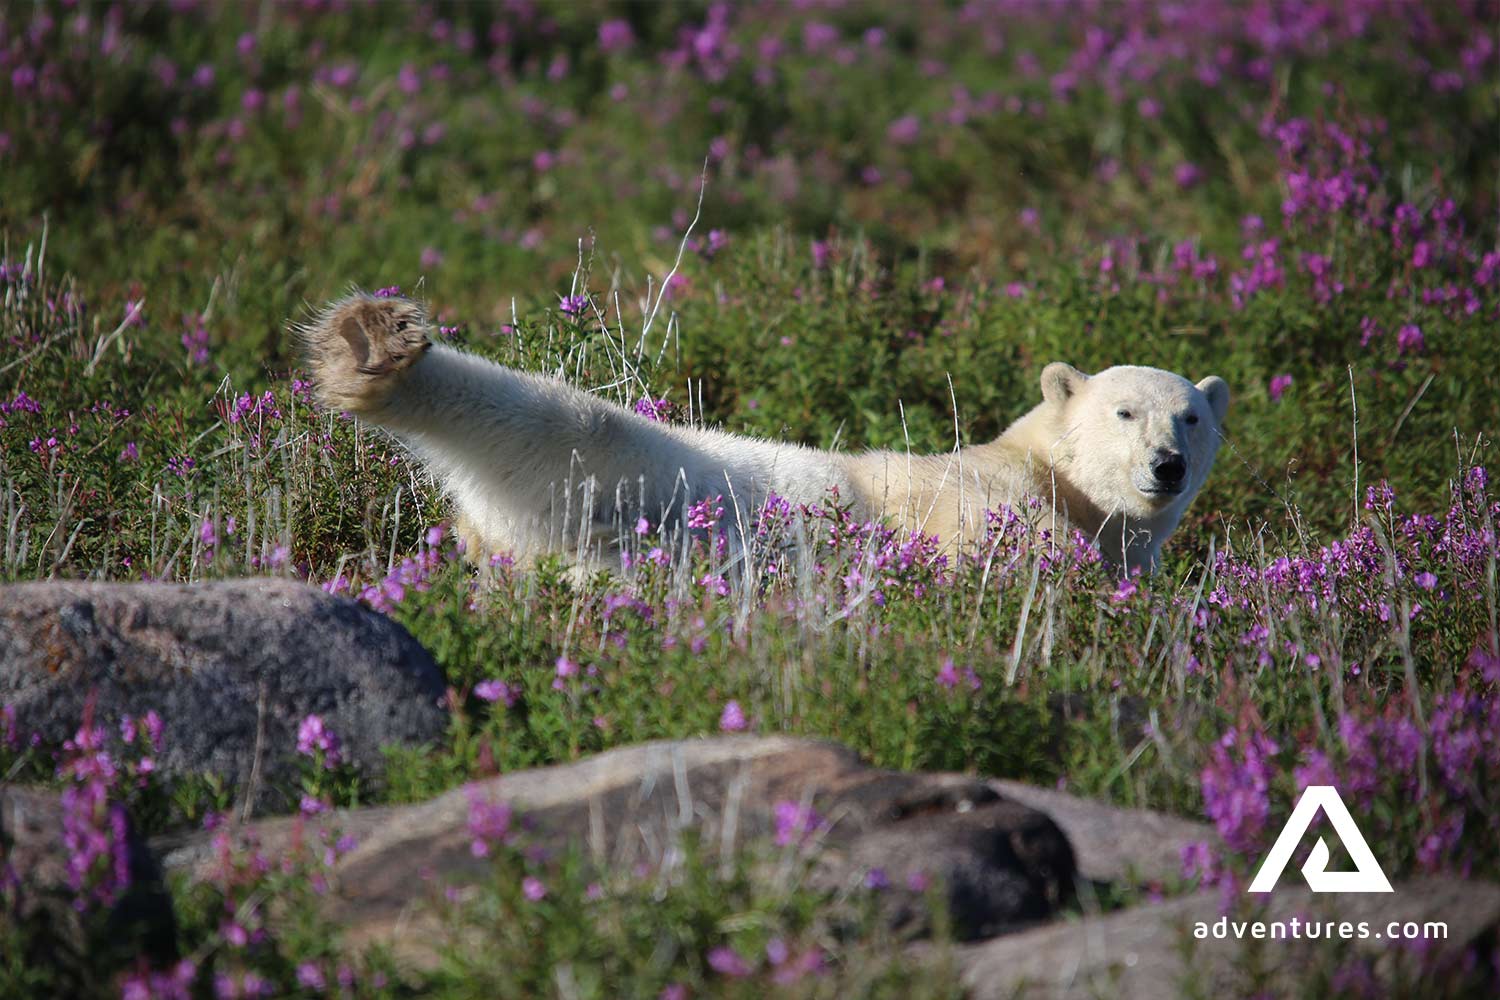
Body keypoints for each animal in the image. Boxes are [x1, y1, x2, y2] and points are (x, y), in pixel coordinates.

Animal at [299, 292, 1230, 574]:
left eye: (1191, 416)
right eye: (1125, 412)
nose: (1167, 466)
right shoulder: (973, 490)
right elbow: (1005, 542)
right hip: (623, 459)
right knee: (557, 413)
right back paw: (372, 346)